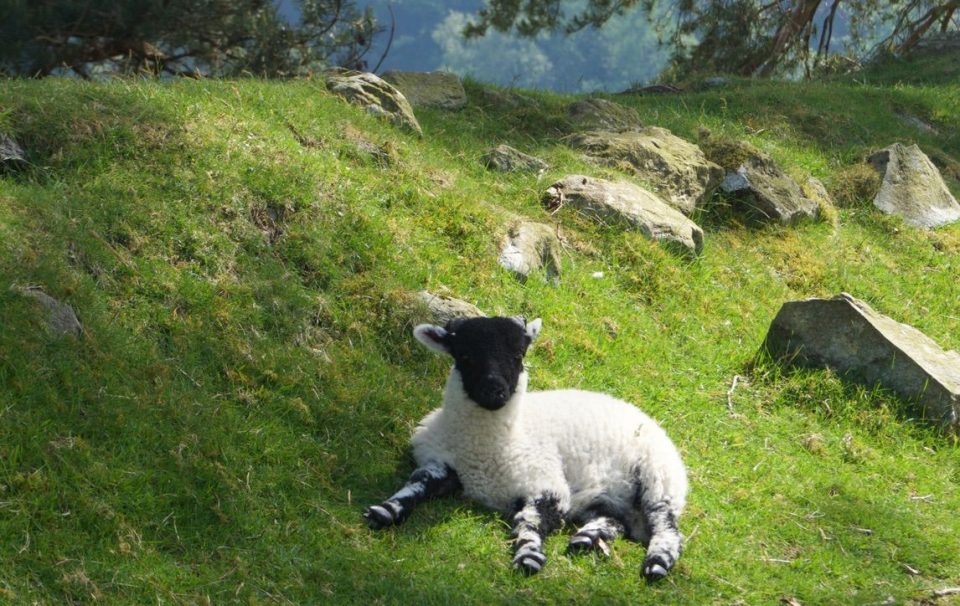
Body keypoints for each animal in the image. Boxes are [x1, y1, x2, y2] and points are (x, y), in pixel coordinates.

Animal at [363, 315, 688, 580]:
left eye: (518, 354)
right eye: (464, 355)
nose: (494, 391)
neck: (485, 450)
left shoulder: (547, 483)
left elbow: (529, 521)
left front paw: (528, 555)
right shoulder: (438, 462)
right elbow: (415, 485)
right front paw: (385, 510)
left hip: (660, 479)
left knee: (667, 528)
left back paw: (657, 562)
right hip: (612, 498)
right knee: (614, 519)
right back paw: (587, 538)